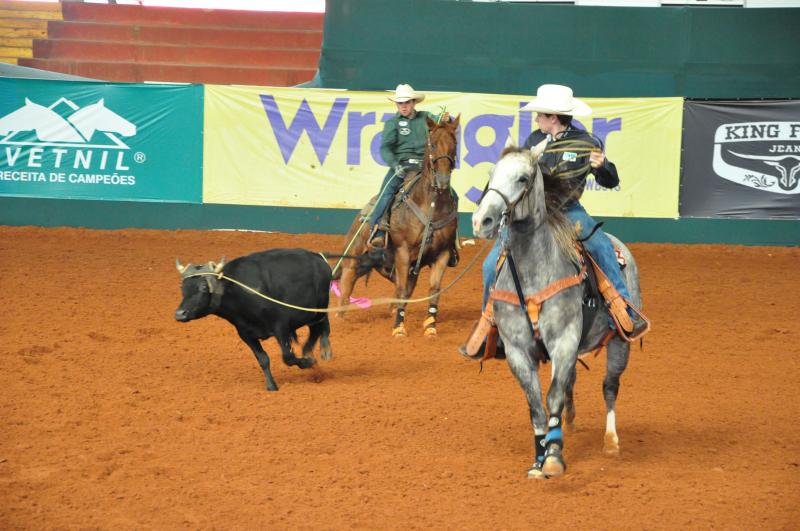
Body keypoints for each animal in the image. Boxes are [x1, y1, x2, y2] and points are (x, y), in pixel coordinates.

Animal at [334, 113, 460, 336]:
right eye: (433, 144)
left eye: (454, 143)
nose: (443, 180)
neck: (430, 207)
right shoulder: (403, 252)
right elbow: (401, 290)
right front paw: (399, 329)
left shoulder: (443, 253)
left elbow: (434, 290)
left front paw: (430, 327)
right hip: (355, 257)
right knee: (347, 285)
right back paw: (341, 322)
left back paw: (393, 313)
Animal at [472, 148, 640, 480]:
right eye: (491, 174)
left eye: (523, 178)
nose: (482, 220)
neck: (533, 272)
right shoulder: (517, 350)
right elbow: (537, 404)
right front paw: (539, 459)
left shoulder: (564, 340)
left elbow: (552, 397)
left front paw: (553, 457)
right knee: (569, 382)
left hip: (620, 342)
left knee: (609, 387)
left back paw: (611, 441)